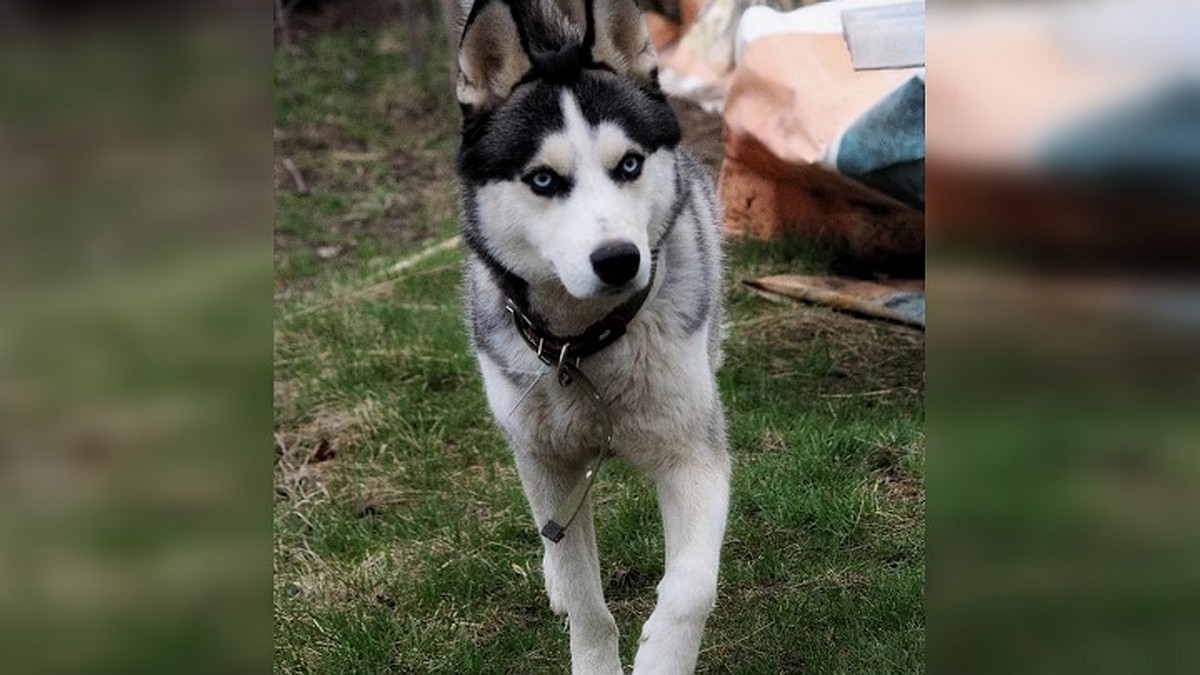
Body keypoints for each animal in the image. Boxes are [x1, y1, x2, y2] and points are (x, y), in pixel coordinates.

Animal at [453, 2, 724, 667]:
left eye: (629, 164)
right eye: (543, 180)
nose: (620, 260)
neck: (585, 345)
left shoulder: (693, 452)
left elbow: (692, 589)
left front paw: (660, 660)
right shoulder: (547, 460)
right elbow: (586, 602)